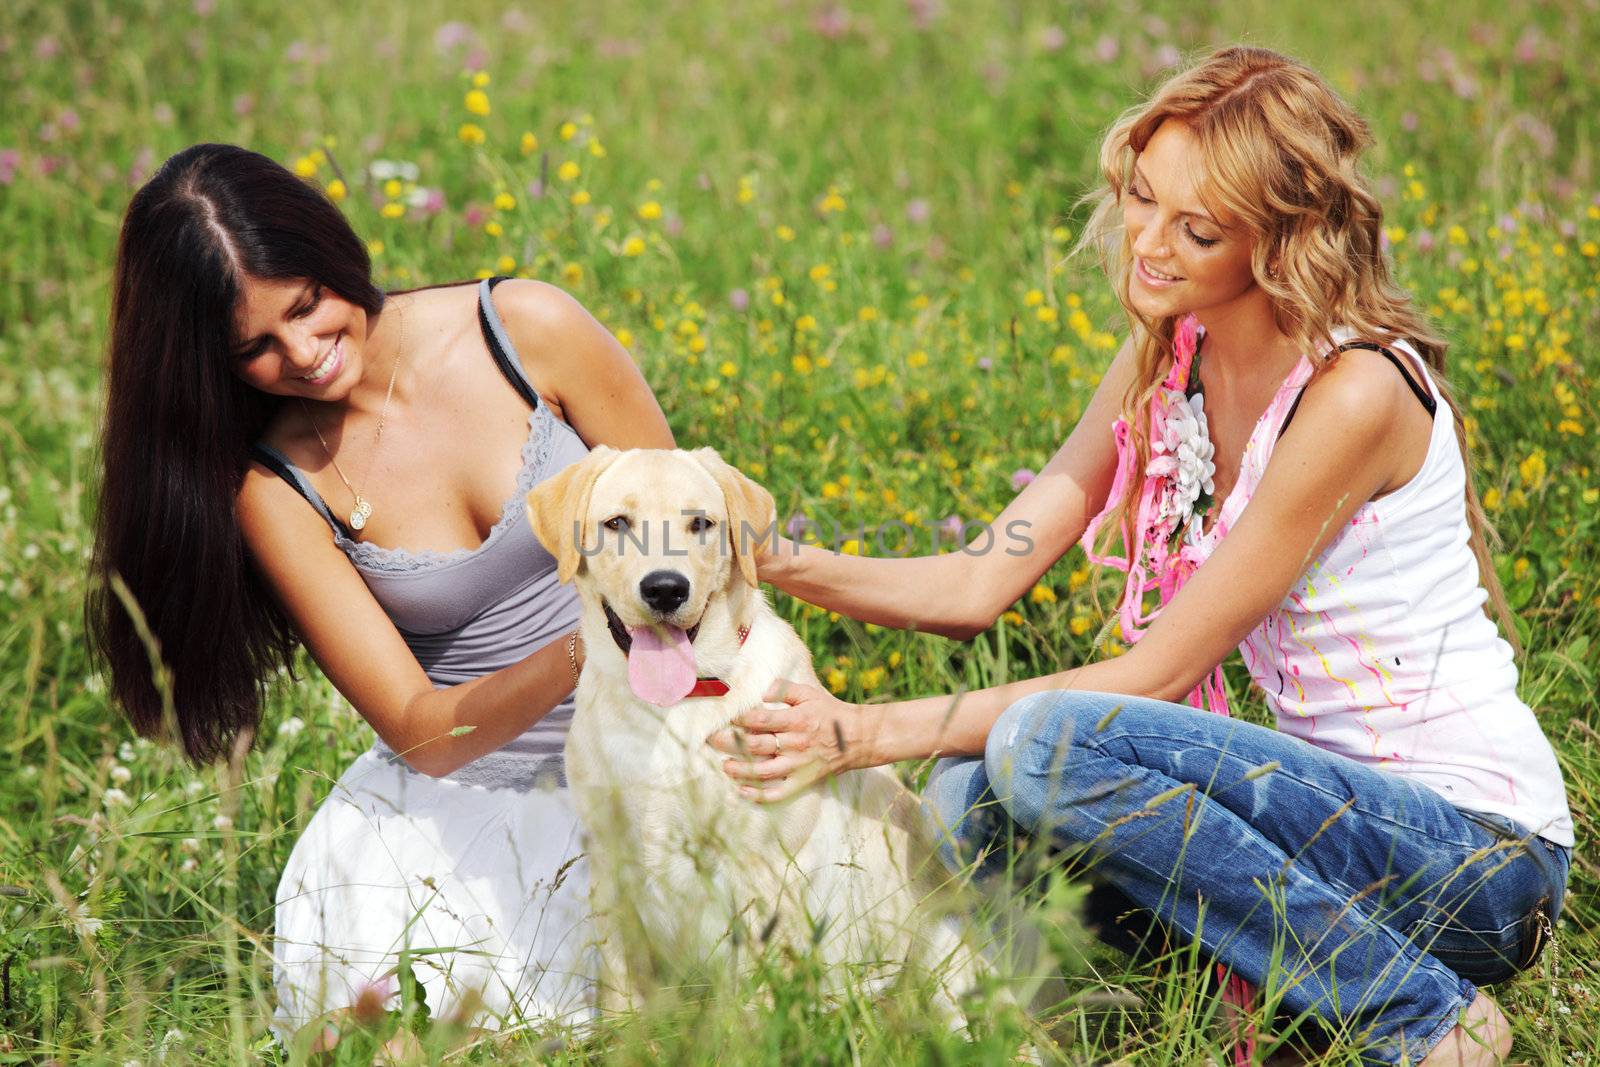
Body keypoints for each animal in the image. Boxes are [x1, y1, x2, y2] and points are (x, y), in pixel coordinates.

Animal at [524, 447, 979, 1017]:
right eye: (616, 523)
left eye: (701, 523)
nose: (666, 588)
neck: (674, 708)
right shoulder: (610, 861)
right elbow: (619, 985)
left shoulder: (759, 868)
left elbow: (755, 1000)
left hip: (945, 953)